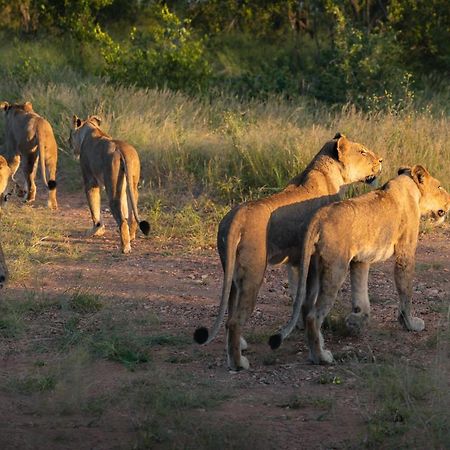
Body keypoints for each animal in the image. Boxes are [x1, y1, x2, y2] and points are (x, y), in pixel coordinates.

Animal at [193, 133, 384, 370]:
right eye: (363, 151)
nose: (381, 160)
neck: (329, 174)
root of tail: (236, 216)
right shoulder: (313, 259)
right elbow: (309, 300)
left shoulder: (296, 261)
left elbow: (299, 297)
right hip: (254, 273)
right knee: (235, 321)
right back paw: (239, 363)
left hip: (233, 275)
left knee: (230, 310)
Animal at [270, 165, 450, 366]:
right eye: (440, 186)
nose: (449, 201)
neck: (410, 188)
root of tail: (319, 217)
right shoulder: (406, 252)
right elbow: (406, 291)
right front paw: (410, 324)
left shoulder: (360, 260)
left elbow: (361, 297)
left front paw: (355, 322)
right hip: (336, 268)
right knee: (312, 316)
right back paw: (321, 357)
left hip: (314, 268)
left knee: (306, 306)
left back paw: (317, 348)